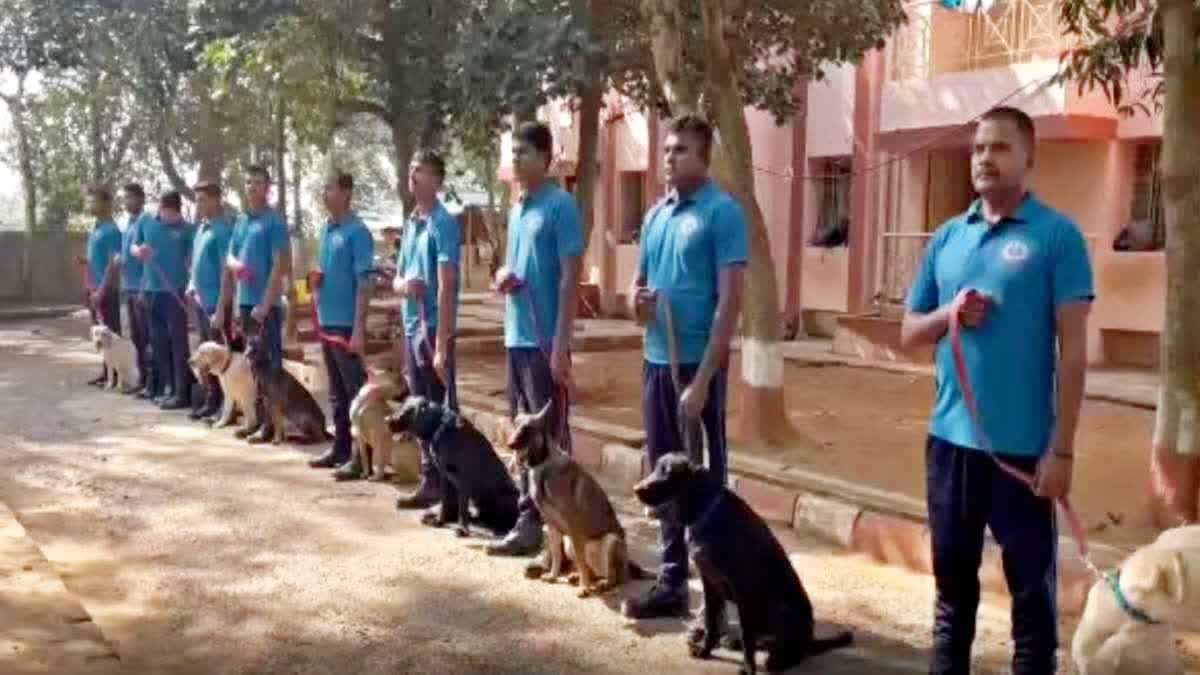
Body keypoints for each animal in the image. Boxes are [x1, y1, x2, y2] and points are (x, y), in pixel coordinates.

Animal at [384, 393, 516, 535]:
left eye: (406, 412)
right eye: (402, 406)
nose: (386, 419)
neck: (438, 426)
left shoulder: (462, 477)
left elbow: (462, 506)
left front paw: (462, 528)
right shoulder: (444, 475)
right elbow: (445, 500)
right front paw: (440, 520)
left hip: (502, 496)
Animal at [511, 398, 652, 593]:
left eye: (526, 429)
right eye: (515, 425)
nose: (509, 444)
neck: (543, 464)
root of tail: (629, 567)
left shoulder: (573, 527)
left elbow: (579, 560)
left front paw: (584, 588)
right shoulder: (553, 527)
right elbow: (556, 554)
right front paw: (554, 576)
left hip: (610, 541)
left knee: (613, 577)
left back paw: (599, 584)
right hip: (569, 542)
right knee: (591, 569)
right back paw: (577, 577)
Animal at [633, 451, 849, 672]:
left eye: (668, 473)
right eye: (656, 468)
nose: (636, 488)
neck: (707, 513)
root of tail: (810, 638)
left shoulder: (742, 589)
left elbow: (747, 637)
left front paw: (748, 668)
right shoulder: (710, 583)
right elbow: (712, 623)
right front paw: (705, 650)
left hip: (784, 614)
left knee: (791, 650)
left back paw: (777, 660)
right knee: (762, 640)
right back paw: (733, 641)